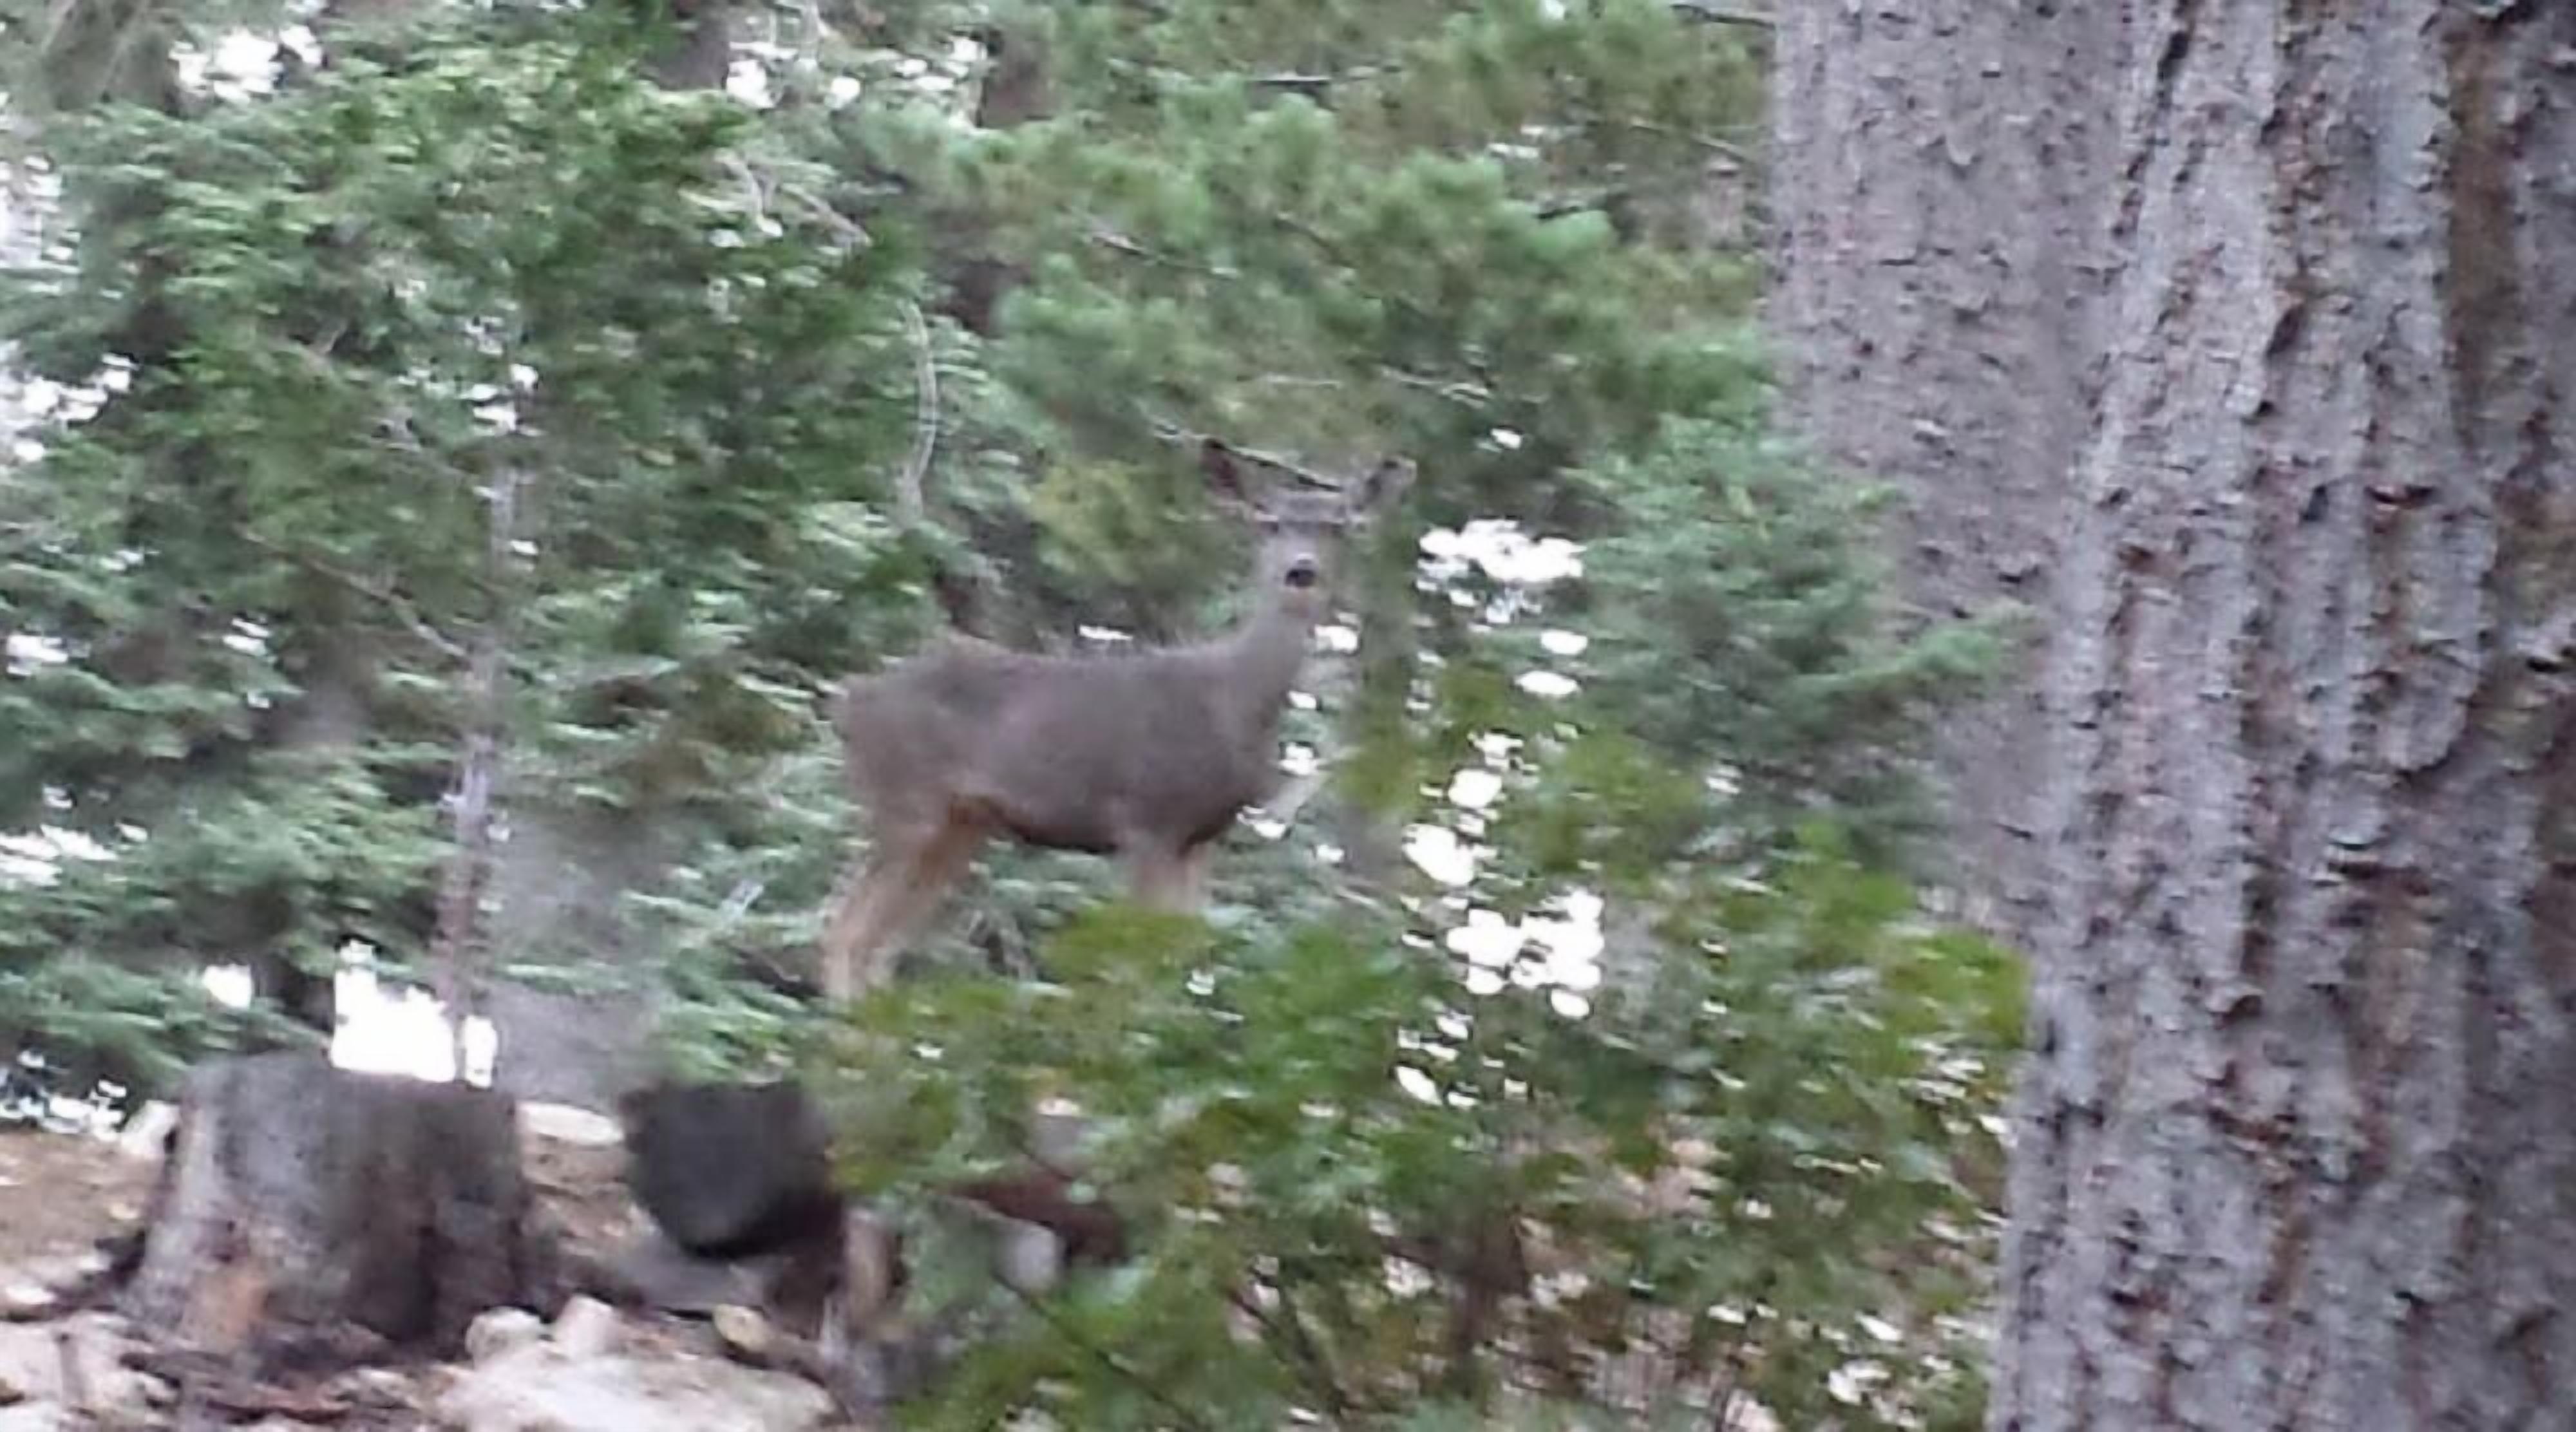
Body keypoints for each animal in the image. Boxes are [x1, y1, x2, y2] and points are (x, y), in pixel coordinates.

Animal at [817, 437, 1415, 1001]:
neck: (1232, 703)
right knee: (845, 931)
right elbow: (1137, 967)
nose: (1301, 571)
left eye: (1340, 528)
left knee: (882, 947)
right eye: (1267, 522)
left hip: (961, 824)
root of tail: (849, 700)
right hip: (905, 799)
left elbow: (1184, 957)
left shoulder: (1203, 837)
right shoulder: (1146, 818)